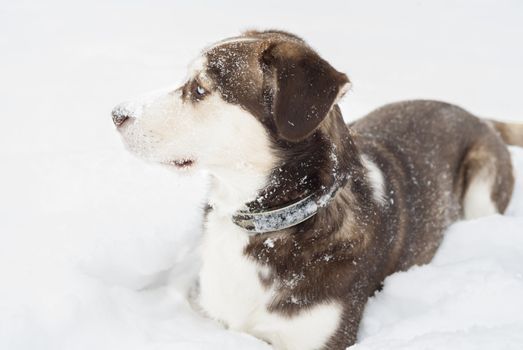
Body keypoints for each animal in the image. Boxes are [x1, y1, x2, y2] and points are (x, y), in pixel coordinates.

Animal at [111, 30, 523, 350]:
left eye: (199, 89)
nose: (116, 114)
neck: (270, 225)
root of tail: (479, 117)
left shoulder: (316, 337)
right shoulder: (216, 314)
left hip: (482, 188)